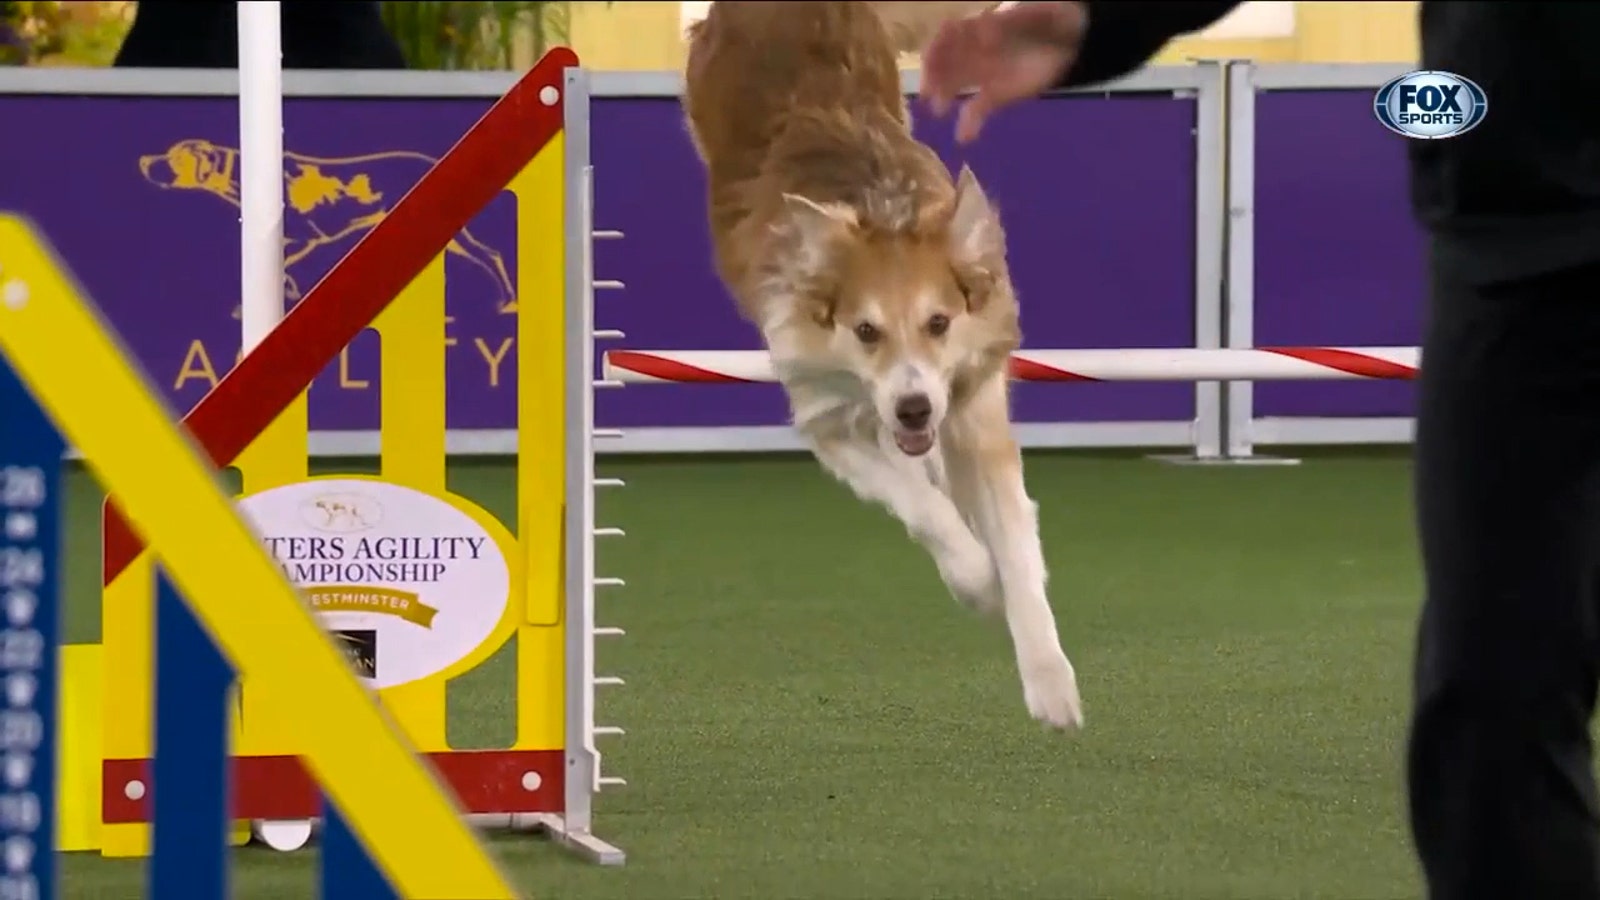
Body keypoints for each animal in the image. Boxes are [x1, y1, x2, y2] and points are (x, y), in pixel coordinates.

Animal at [681, 1, 1081, 730]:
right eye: (865, 331)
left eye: (939, 324)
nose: (913, 407)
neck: (881, 211)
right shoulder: (827, 418)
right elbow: (922, 508)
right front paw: (978, 582)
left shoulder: (973, 405)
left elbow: (1015, 543)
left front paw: (1049, 679)